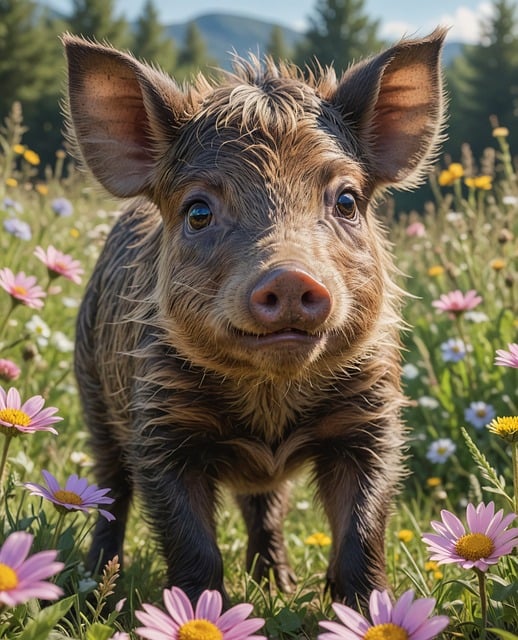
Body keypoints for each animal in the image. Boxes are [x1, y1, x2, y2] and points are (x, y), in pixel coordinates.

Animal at [64, 28, 446, 607]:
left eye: (347, 200)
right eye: (199, 211)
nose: (289, 276)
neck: (270, 405)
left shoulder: (373, 418)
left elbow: (362, 533)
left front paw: (367, 611)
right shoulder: (158, 428)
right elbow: (191, 542)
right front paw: (195, 611)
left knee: (265, 504)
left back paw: (277, 583)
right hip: (94, 399)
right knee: (110, 490)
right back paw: (96, 586)